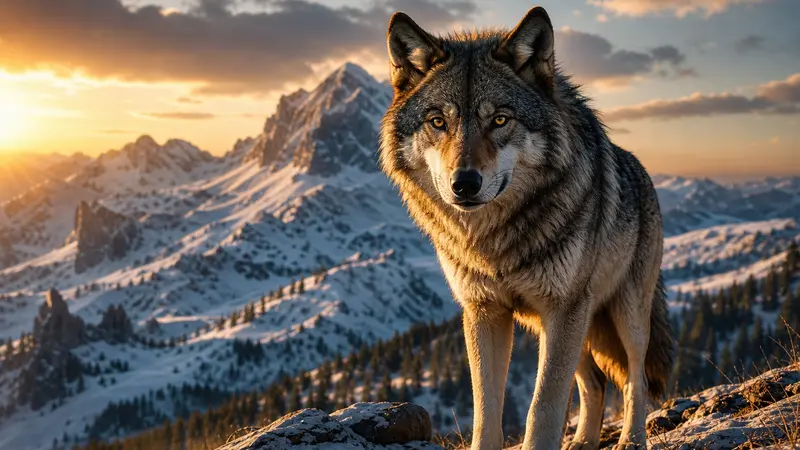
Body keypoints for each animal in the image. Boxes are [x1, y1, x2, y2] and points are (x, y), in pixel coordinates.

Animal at [379, 6, 674, 450]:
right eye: (437, 122)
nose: (464, 183)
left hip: (623, 315)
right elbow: (486, 410)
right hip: (568, 326)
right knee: (594, 383)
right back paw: (583, 441)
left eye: (501, 119)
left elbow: (544, 407)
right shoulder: (485, 312)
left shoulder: (563, 307)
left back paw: (633, 439)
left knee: (634, 377)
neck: (493, 241)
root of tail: (642, 171)